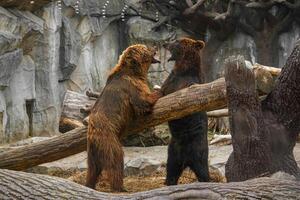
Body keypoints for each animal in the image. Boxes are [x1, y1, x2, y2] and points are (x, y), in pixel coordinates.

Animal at [86, 44, 162, 191]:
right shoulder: (132, 86)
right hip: (109, 139)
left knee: (92, 170)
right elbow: (143, 101)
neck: (136, 73)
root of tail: (92, 137)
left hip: (91, 153)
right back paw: (120, 187)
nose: (155, 46)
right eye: (146, 48)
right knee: (116, 160)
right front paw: (160, 89)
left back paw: (90, 184)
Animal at [162, 38, 209, 186]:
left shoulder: (189, 82)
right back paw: (168, 182)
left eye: (176, 41)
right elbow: (162, 91)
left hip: (199, 148)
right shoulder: (171, 80)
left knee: (203, 170)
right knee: (171, 170)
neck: (183, 70)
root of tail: (186, 160)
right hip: (173, 151)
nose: (165, 43)